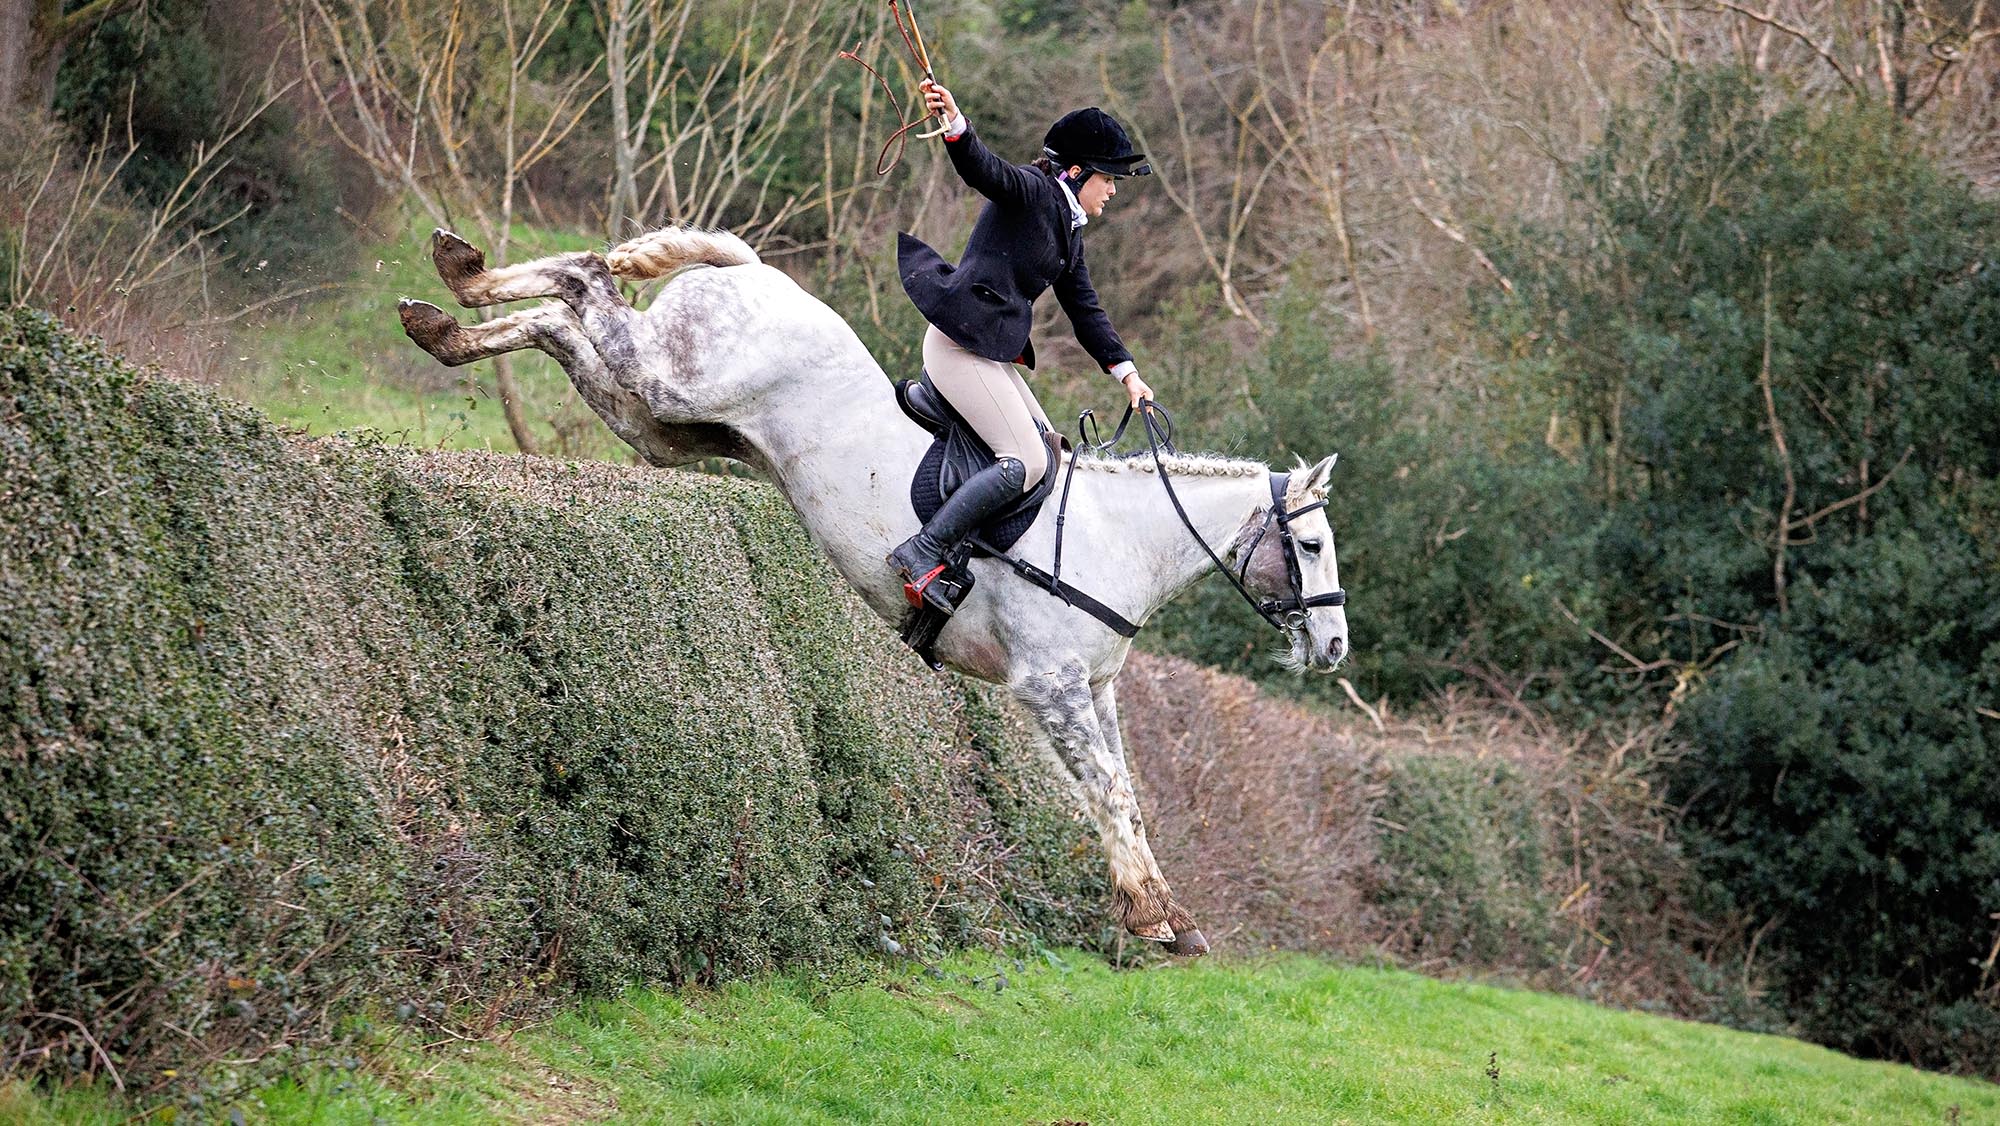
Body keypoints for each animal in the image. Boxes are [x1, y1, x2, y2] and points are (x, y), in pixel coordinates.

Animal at [395, 224, 1350, 956]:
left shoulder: (1095, 690)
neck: (1118, 539)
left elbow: (1126, 797)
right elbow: (1110, 793)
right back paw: (457, 272)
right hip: (670, 381)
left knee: (561, 327)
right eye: (1309, 545)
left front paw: (1164, 914)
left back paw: (445, 318)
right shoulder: (1048, 687)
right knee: (583, 282)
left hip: (663, 423)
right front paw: (1153, 918)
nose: (1335, 648)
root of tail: (754, 271)